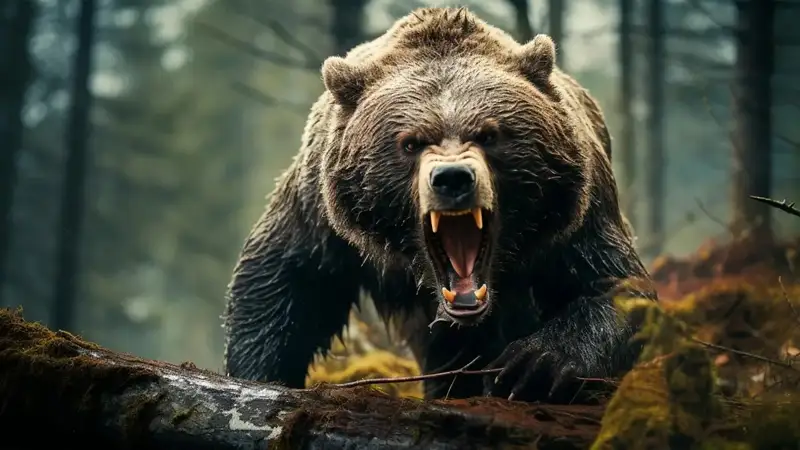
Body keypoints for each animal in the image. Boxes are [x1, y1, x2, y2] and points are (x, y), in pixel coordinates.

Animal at [222, 7, 656, 403]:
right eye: (411, 142)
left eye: (489, 134)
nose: (452, 178)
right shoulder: (321, 211)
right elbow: (285, 279)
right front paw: (258, 374)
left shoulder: (575, 212)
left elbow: (611, 285)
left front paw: (536, 365)